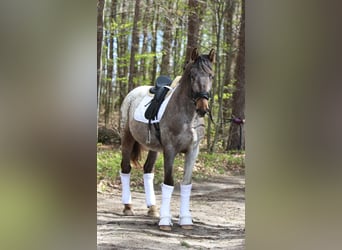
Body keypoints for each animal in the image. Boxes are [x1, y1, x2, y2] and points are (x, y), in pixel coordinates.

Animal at [119, 47, 215, 230]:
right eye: (192, 75)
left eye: (211, 75)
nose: (202, 108)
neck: (187, 117)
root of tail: (132, 94)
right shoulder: (170, 150)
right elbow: (169, 182)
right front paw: (165, 220)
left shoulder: (193, 151)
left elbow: (186, 183)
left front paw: (186, 220)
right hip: (127, 138)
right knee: (126, 168)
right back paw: (128, 207)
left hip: (153, 147)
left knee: (148, 170)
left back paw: (153, 209)